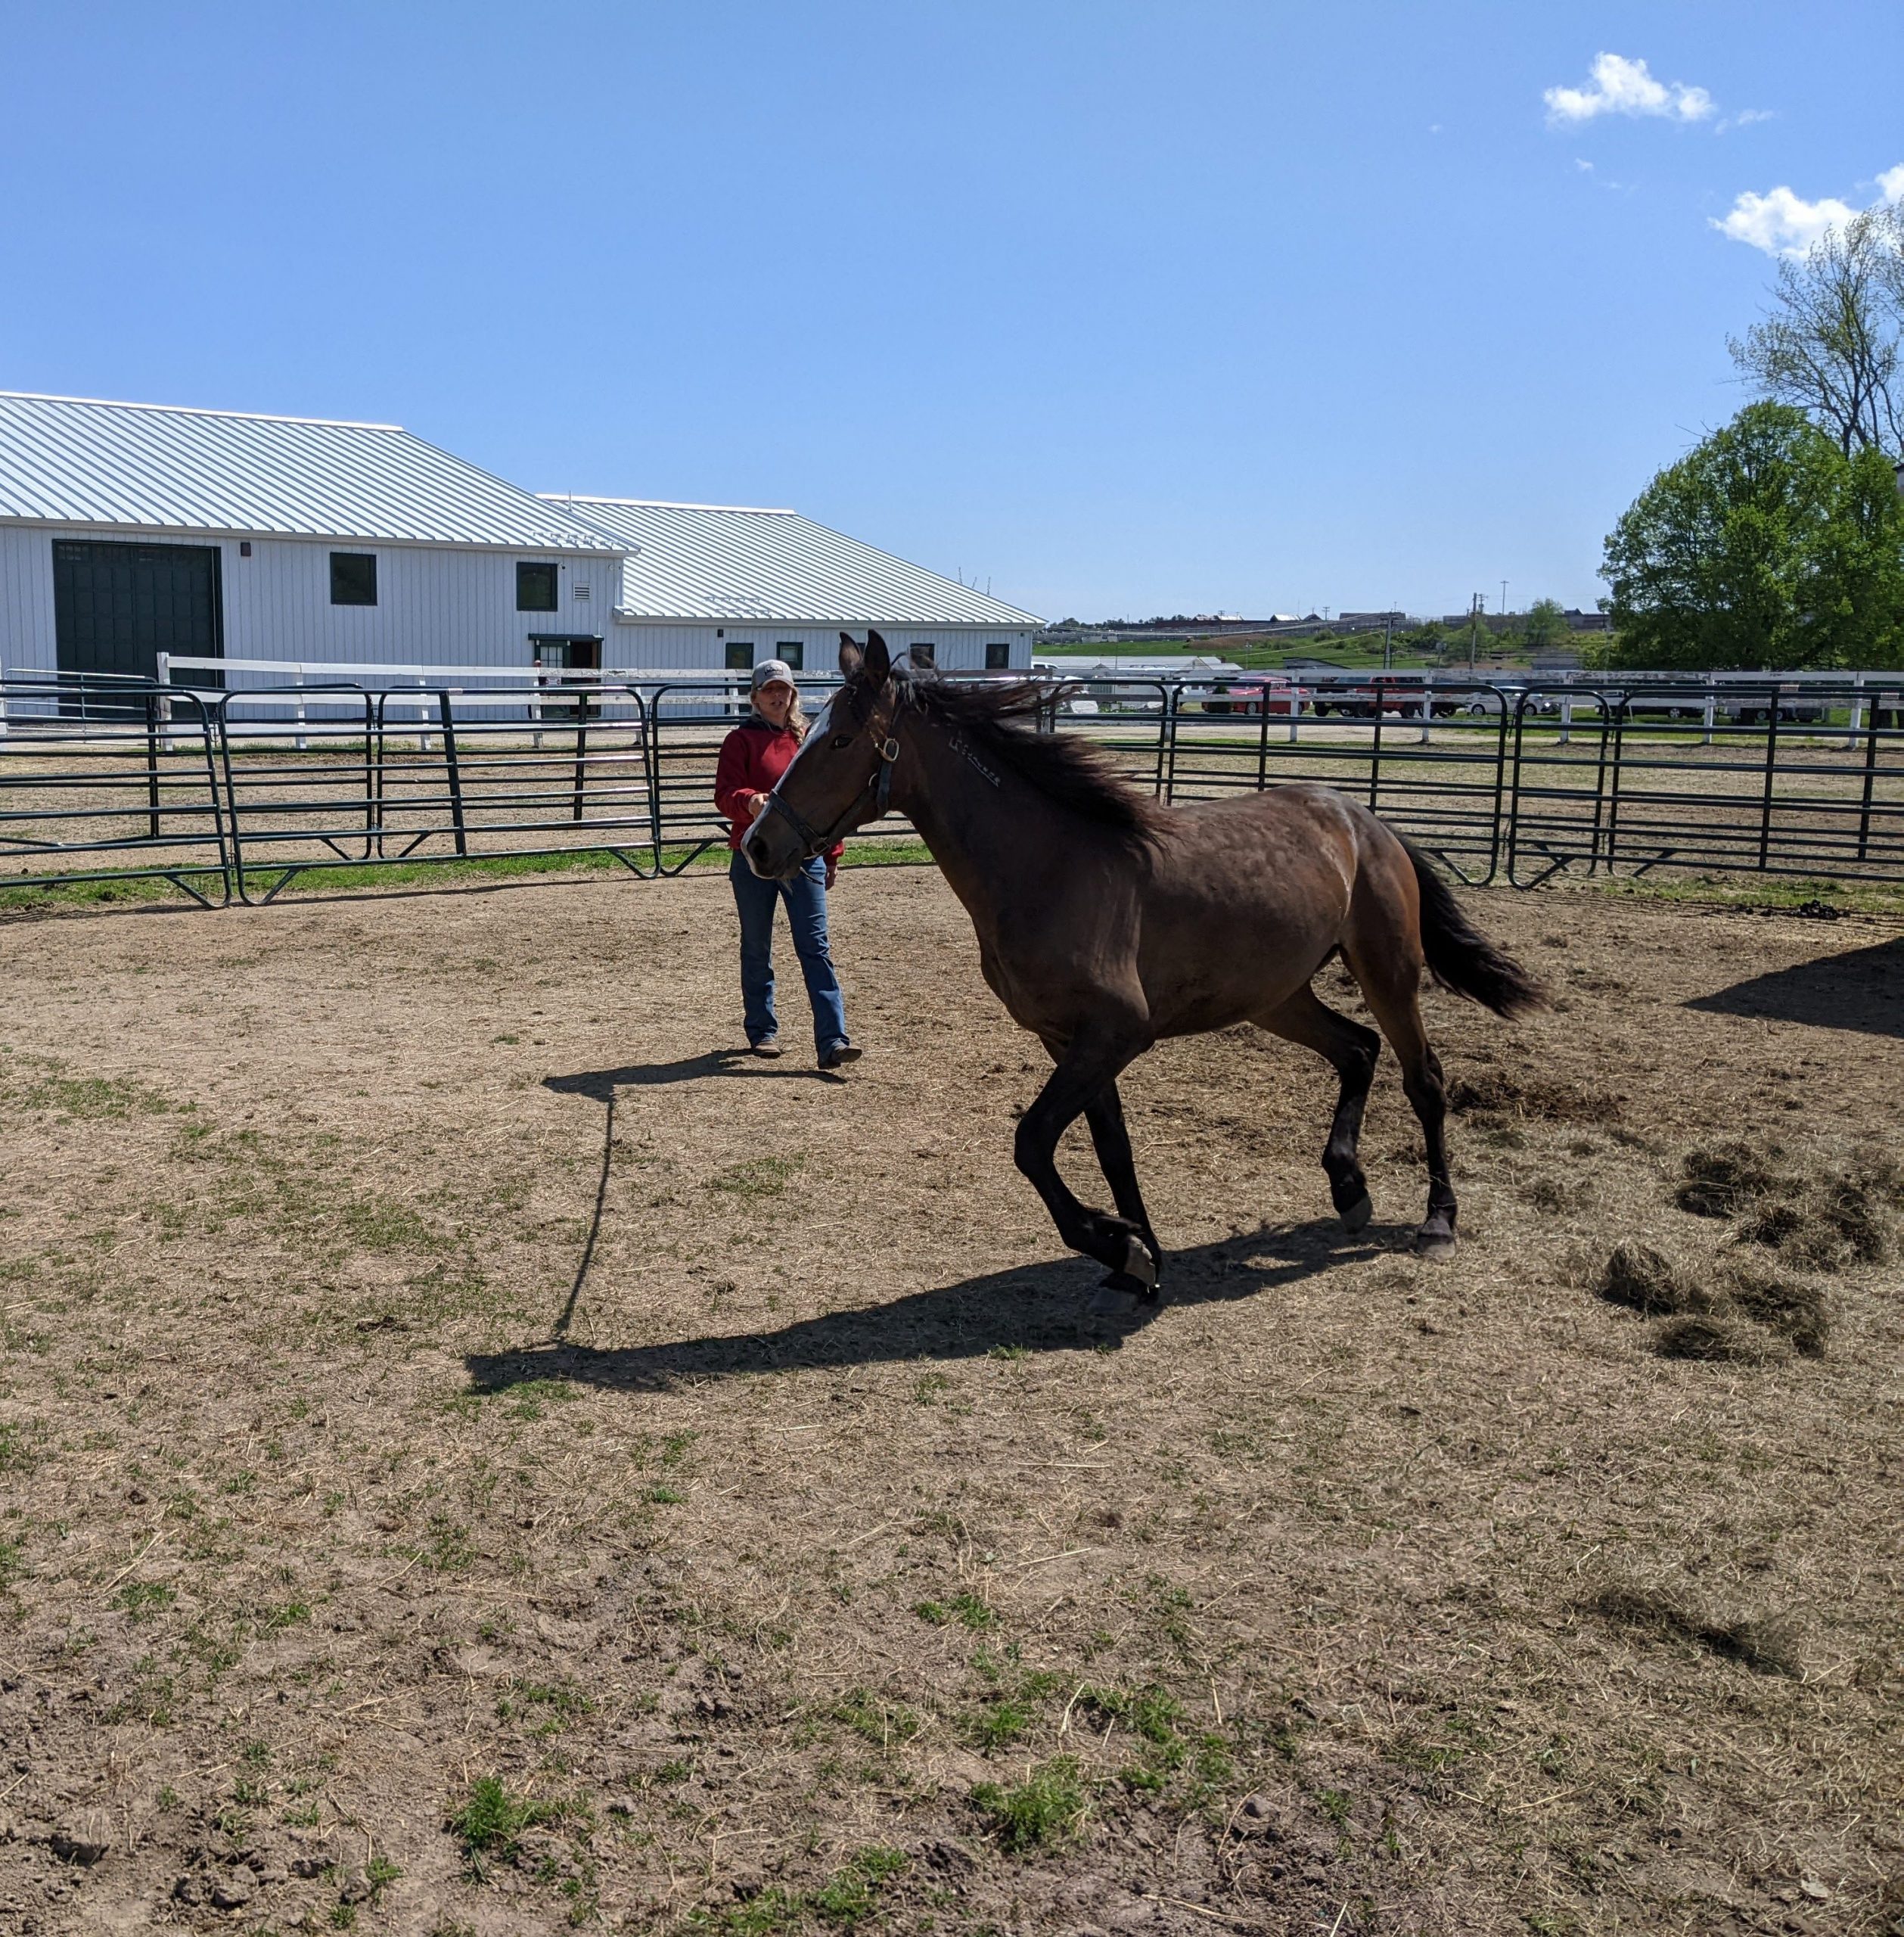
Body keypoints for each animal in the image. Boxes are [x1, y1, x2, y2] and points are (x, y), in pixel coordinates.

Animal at [744, 631, 1544, 1314]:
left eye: (840, 739)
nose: (758, 844)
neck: (1050, 867)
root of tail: (1365, 820)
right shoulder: (1070, 1040)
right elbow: (1111, 1151)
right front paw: (1138, 1260)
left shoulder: (1115, 1033)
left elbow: (1032, 1143)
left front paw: (1117, 1245)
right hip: (1275, 995)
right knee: (1357, 1051)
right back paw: (1348, 1187)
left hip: (1386, 970)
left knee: (1422, 1078)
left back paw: (1436, 1221)